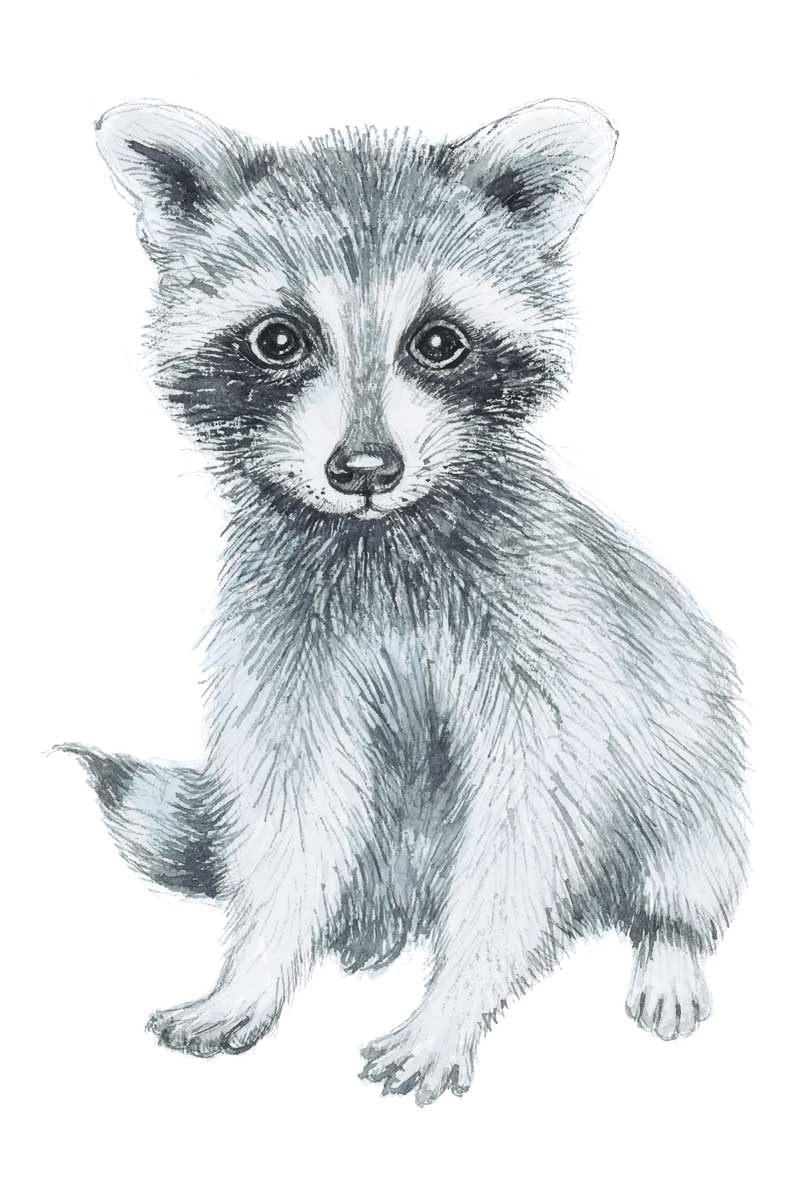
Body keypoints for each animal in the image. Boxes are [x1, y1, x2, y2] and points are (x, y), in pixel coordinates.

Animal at [61, 98, 748, 1104]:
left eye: (439, 342)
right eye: (278, 339)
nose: (363, 471)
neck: (379, 539)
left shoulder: (548, 636)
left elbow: (528, 821)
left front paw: (454, 1005)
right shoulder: (284, 636)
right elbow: (289, 807)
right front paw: (254, 969)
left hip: (696, 763)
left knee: (685, 855)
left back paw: (670, 939)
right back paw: (366, 925)